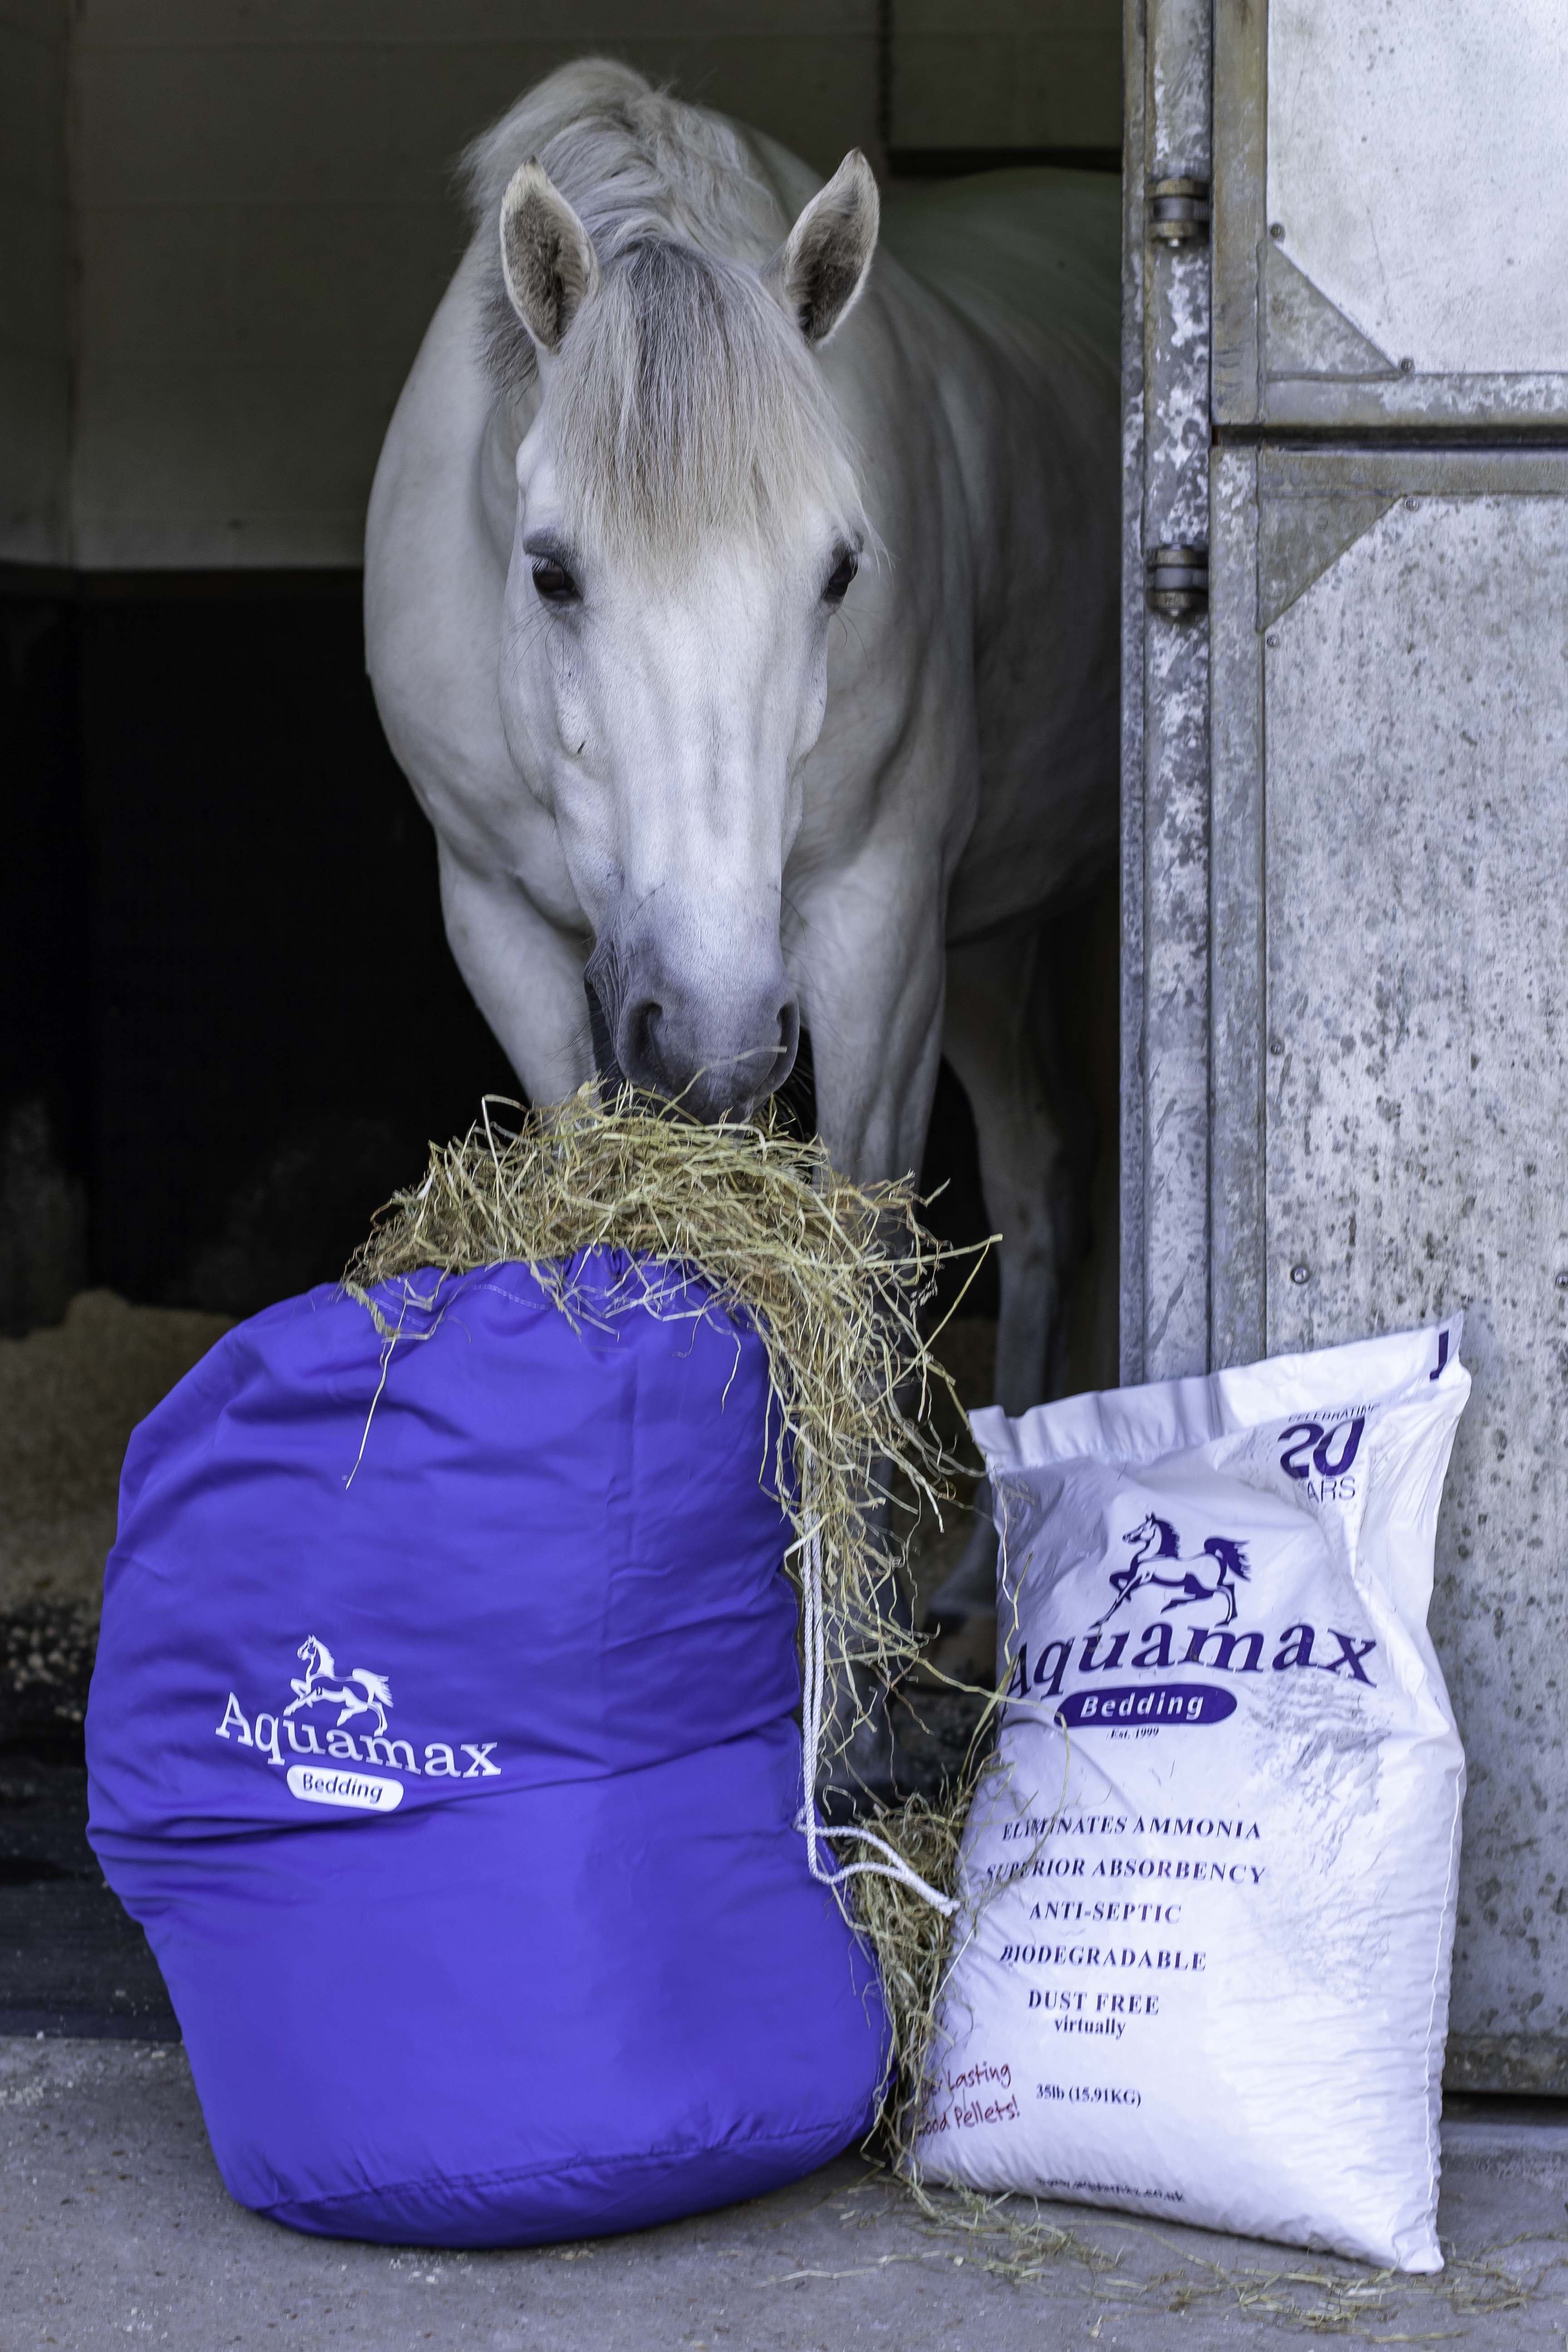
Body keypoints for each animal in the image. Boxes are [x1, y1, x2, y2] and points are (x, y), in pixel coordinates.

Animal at [366, 64, 1123, 1590]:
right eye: (550, 570)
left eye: (837, 571)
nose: (713, 1030)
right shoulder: (497, 925)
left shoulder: (875, 938)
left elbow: (864, 1283)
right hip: (990, 944)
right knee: (1040, 1164)